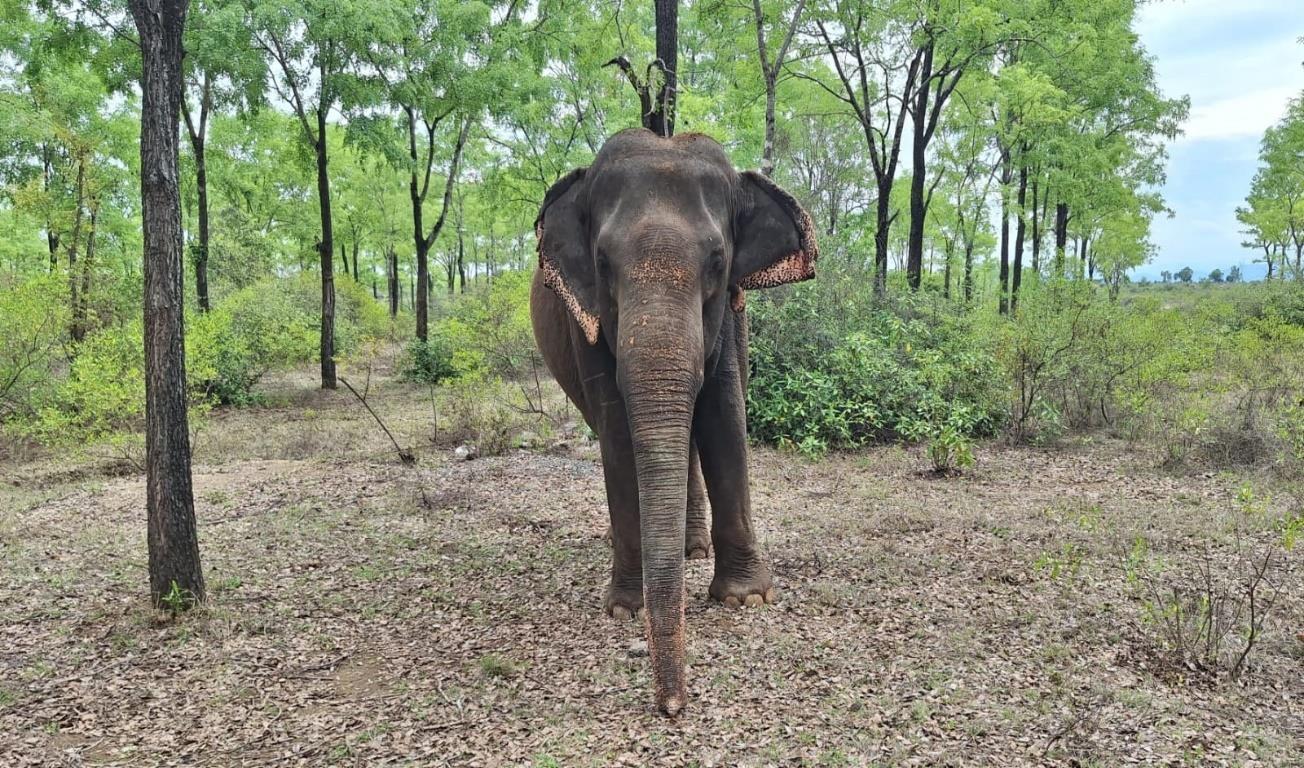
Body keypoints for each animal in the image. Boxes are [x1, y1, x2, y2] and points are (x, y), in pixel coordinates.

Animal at [530, 128, 818, 715]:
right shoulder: (586, 320)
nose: (672, 707)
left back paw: (693, 549)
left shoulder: (730, 312)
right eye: (602, 262)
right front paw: (626, 607)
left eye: (717, 261)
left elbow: (723, 415)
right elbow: (617, 432)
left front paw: (746, 599)